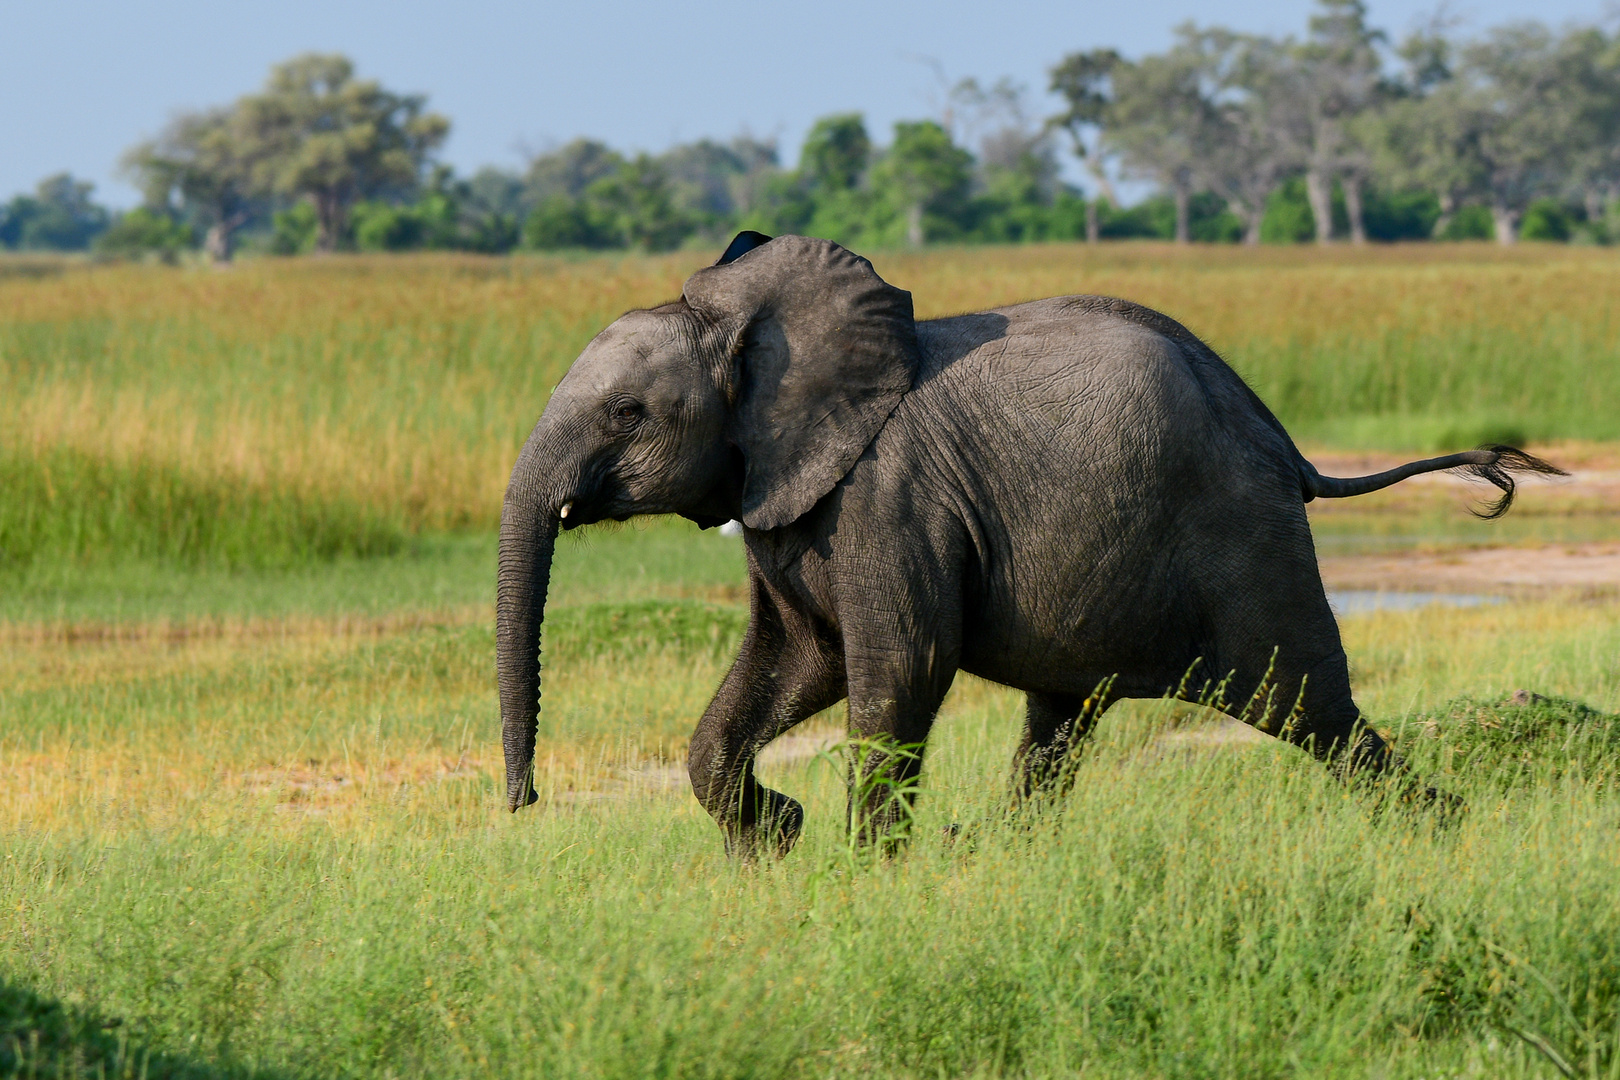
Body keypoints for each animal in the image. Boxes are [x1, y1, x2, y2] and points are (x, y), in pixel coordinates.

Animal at [495, 233, 1568, 854]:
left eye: (627, 413)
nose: (524, 804)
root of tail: (1287, 446)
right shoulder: (787, 504)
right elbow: (793, 663)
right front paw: (780, 843)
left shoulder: (889, 496)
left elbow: (900, 666)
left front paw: (859, 876)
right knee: (1063, 725)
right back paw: (994, 849)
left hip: (1244, 537)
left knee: (1307, 704)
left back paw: (1446, 838)